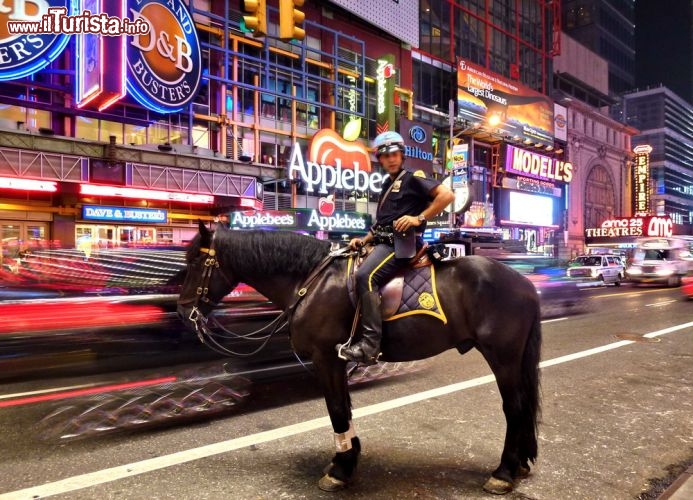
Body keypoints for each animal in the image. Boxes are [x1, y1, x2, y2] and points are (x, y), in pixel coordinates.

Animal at [174, 224, 540, 496]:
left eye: (194, 262)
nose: (181, 310)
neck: (310, 281)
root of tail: (524, 282)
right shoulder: (337, 361)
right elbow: (345, 409)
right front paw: (348, 457)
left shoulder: (326, 358)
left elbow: (336, 409)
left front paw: (340, 469)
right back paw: (520, 463)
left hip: (502, 356)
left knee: (514, 407)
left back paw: (504, 472)